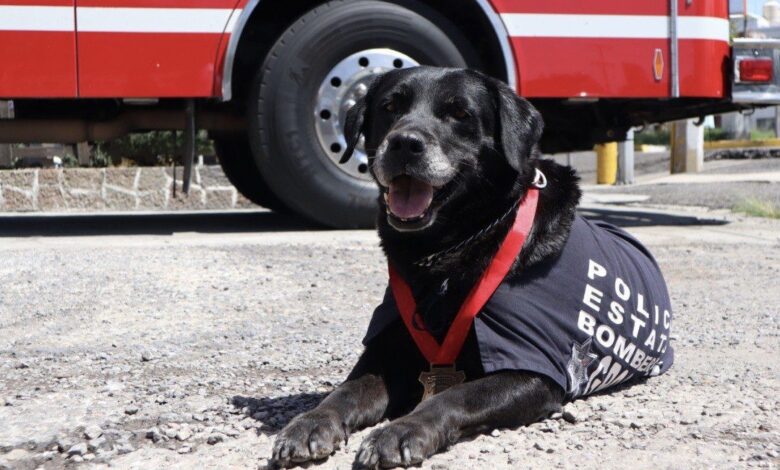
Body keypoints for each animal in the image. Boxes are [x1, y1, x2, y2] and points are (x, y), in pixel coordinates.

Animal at [272, 68, 672, 468]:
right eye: (389, 107)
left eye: (460, 114)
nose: (404, 143)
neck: (451, 250)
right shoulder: (387, 349)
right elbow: (346, 390)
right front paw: (310, 423)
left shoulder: (531, 369)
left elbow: (452, 395)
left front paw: (402, 430)